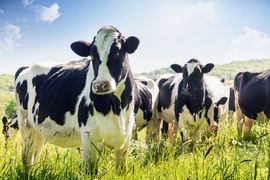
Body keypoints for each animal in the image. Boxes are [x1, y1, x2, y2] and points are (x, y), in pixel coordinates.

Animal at [15, 26, 139, 174]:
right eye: (92, 55)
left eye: (118, 52)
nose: (100, 84)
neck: (117, 107)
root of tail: (28, 66)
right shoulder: (89, 136)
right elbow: (92, 170)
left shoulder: (125, 138)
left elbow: (121, 170)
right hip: (25, 124)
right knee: (27, 157)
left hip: (39, 129)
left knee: (35, 155)